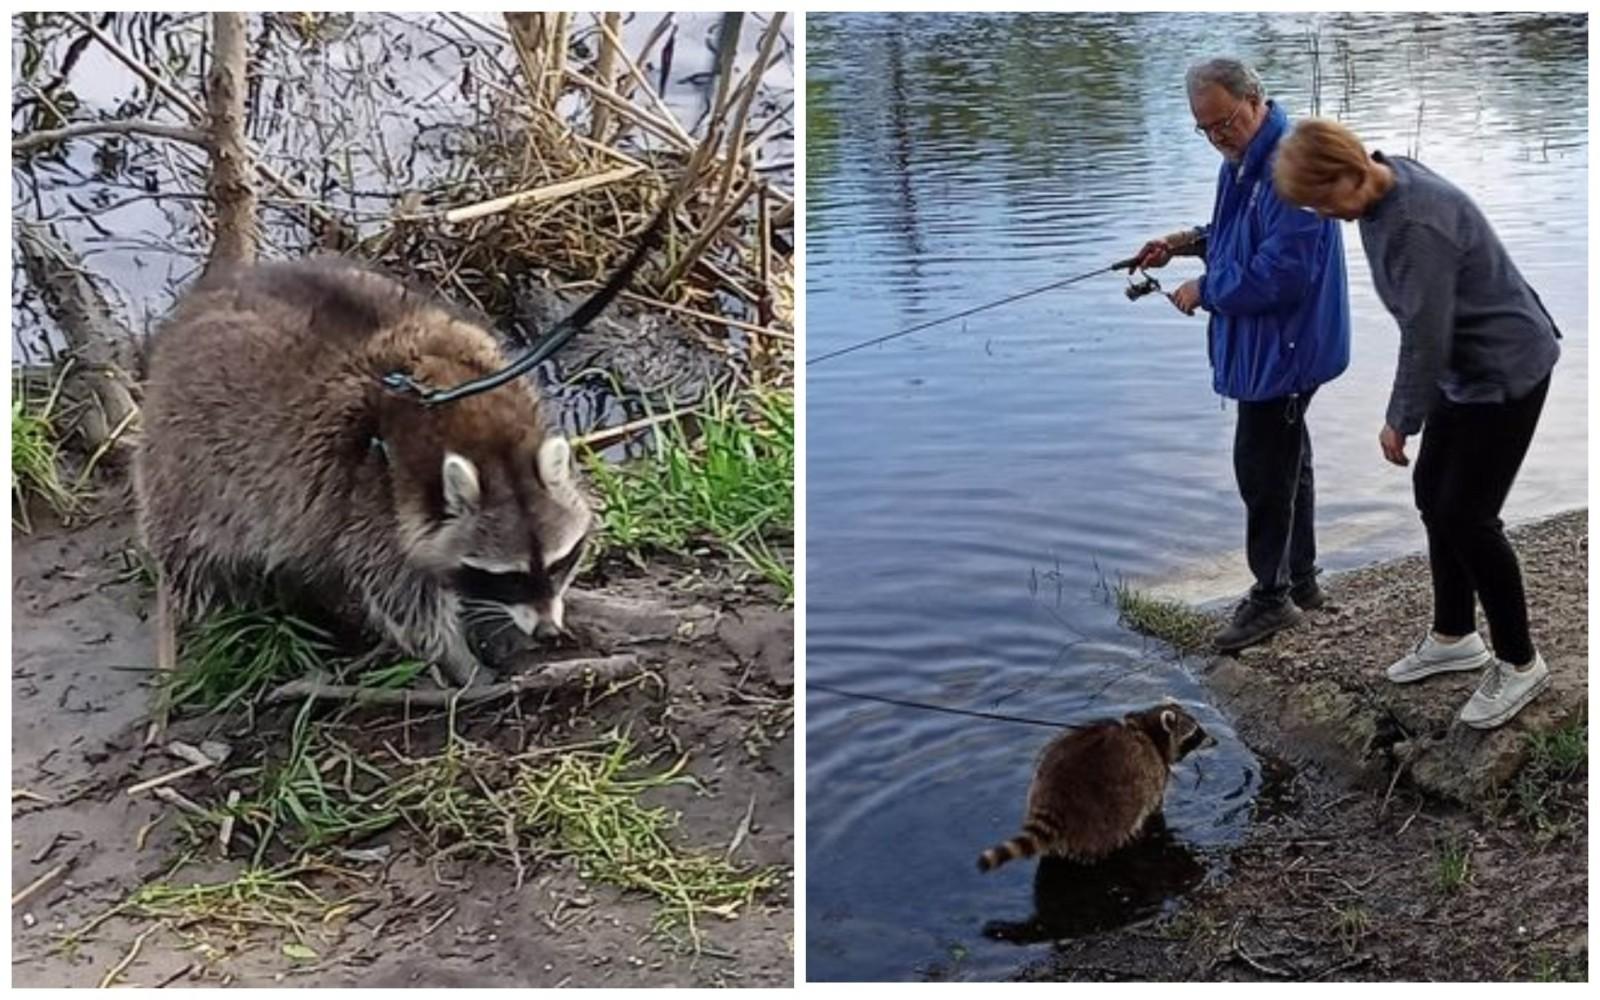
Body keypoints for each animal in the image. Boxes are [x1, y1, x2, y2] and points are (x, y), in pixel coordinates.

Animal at [134, 257, 598, 691]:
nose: (548, 630)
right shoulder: (372, 498)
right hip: (188, 468)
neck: (485, 436)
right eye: (511, 578)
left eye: (558, 563)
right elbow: (405, 600)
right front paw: (459, 660)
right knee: (198, 557)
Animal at [972, 697, 1209, 870]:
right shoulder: (1154, 774)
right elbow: (1154, 807)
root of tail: (1055, 795)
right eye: (1196, 732)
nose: (1213, 740)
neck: (1147, 730)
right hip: (1107, 812)